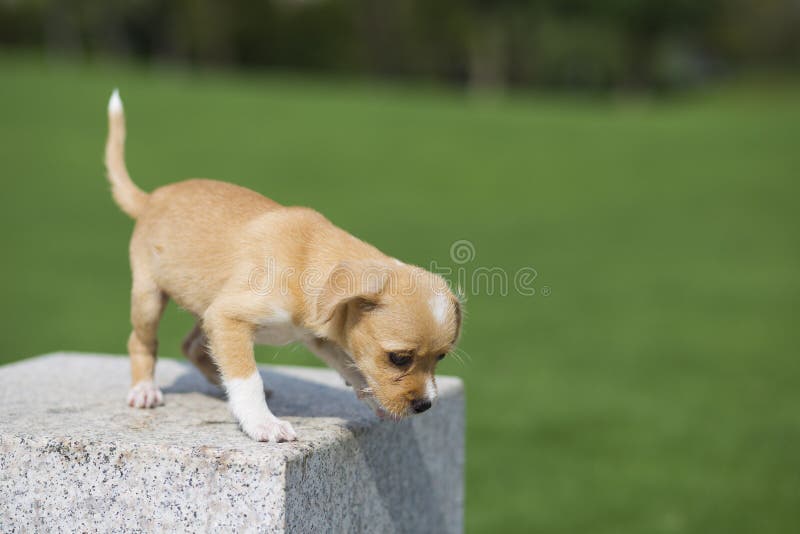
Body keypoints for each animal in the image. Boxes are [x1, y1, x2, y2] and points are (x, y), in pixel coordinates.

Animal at [104, 91, 462, 444]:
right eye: (399, 358)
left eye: (441, 358)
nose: (425, 405)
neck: (308, 260)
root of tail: (150, 198)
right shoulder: (228, 317)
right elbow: (248, 379)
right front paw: (263, 423)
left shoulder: (317, 336)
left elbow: (353, 367)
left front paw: (373, 400)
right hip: (150, 297)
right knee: (142, 342)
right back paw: (145, 390)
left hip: (204, 303)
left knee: (193, 347)